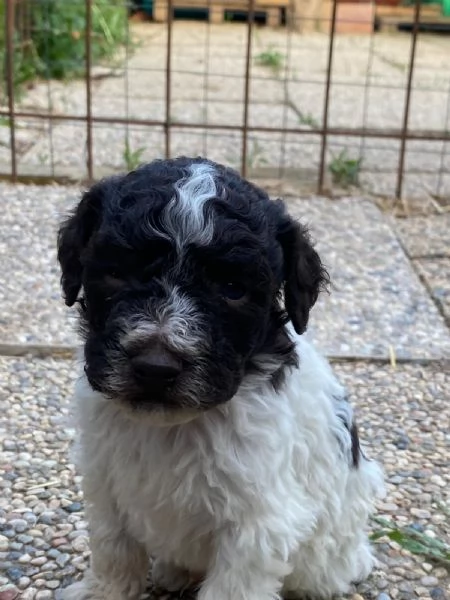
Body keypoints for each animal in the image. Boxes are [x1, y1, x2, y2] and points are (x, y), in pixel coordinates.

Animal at [58, 156, 384, 600]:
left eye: (232, 288)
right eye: (117, 273)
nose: (155, 367)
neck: (174, 428)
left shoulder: (258, 522)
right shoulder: (105, 483)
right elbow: (114, 549)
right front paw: (104, 591)